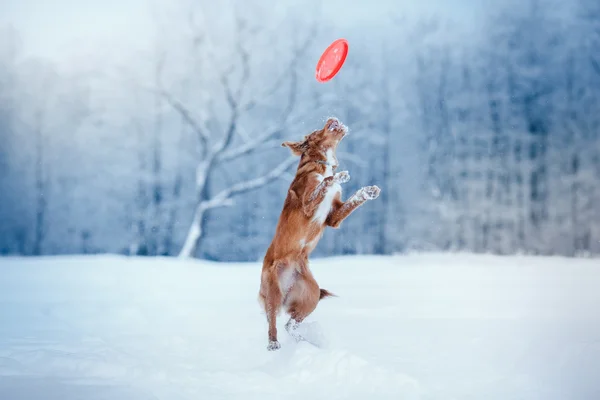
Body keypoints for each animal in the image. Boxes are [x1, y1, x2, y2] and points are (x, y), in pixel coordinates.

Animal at [256, 116, 380, 350]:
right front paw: (339, 176)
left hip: (311, 293)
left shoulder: (334, 217)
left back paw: (303, 338)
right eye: (315, 130)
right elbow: (324, 183)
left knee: (290, 323)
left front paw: (368, 191)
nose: (332, 118)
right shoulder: (307, 204)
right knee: (273, 320)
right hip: (273, 288)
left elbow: (352, 199)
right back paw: (273, 343)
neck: (322, 164)